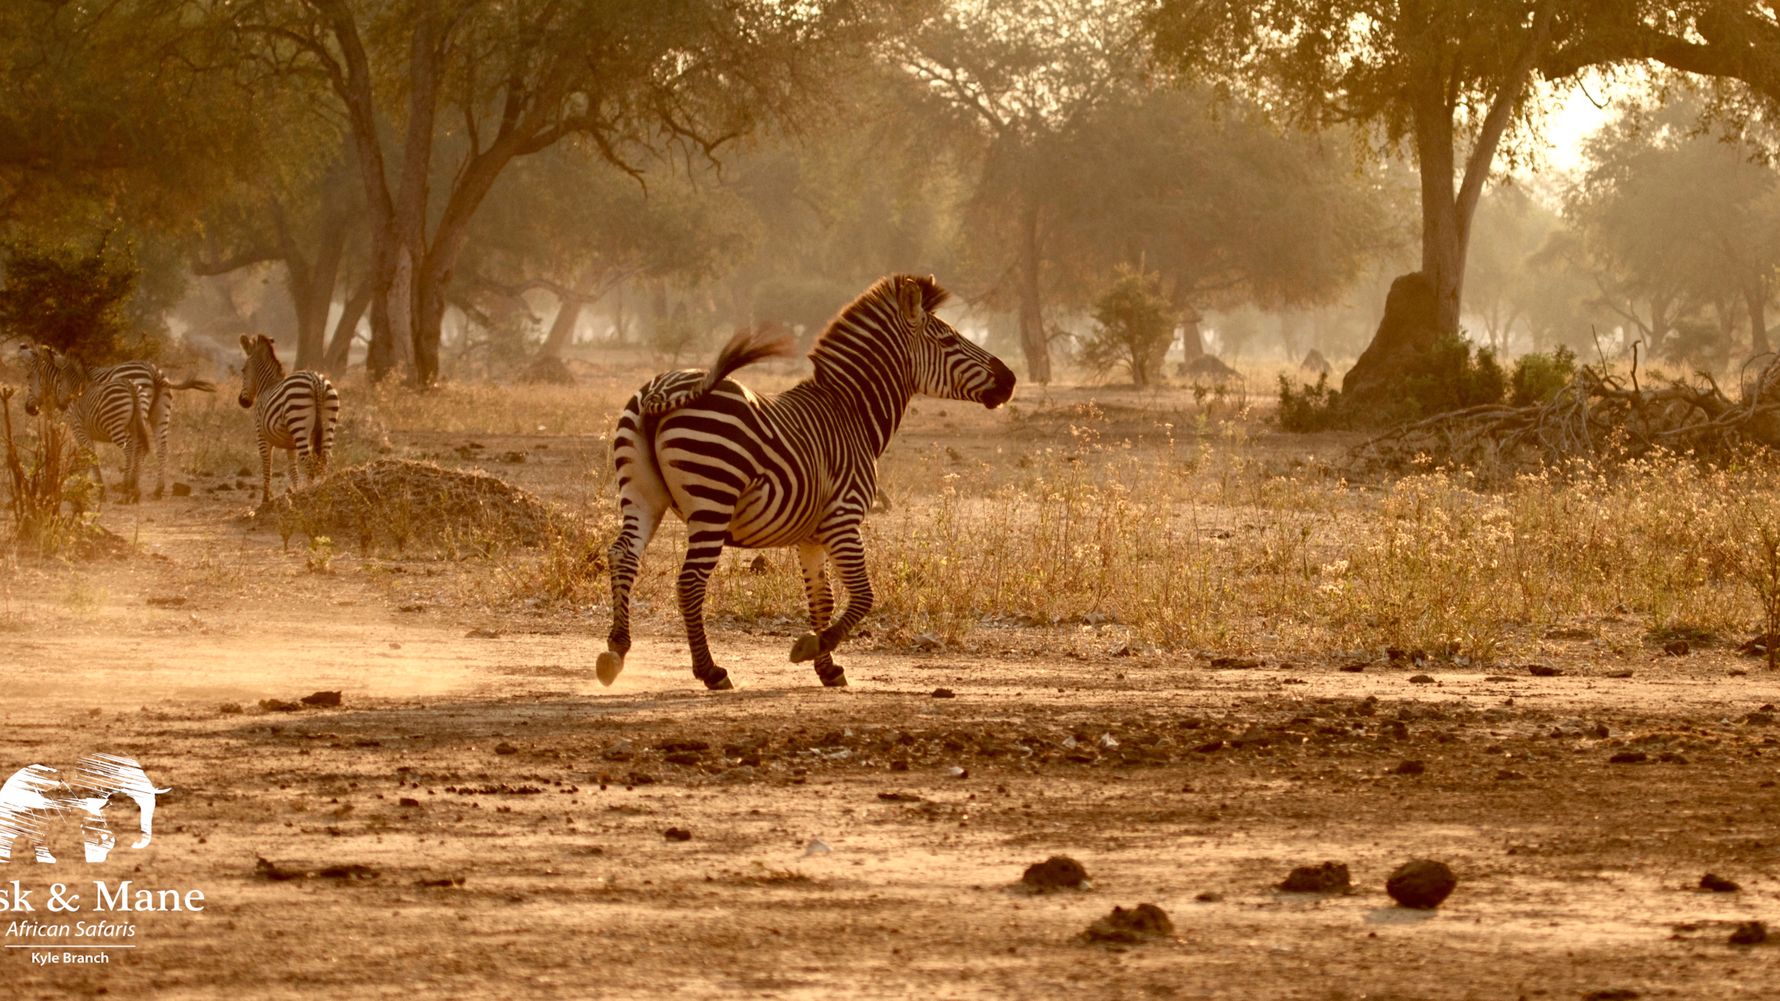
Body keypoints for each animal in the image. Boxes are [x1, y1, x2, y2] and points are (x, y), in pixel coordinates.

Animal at [18, 344, 153, 504]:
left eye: (28, 377)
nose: (29, 409)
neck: (76, 390)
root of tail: (129, 385)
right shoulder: (87, 433)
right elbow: (88, 456)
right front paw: (83, 486)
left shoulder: (79, 430)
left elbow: (89, 455)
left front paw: (95, 490)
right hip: (136, 424)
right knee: (139, 448)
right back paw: (134, 490)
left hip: (115, 426)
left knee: (129, 449)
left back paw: (126, 489)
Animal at [236, 334, 341, 504]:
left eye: (243, 371)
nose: (242, 401)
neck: (266, 386)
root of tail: (316, 380)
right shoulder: (290, 445)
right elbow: (293, 470)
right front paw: (295, 491)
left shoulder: (261, 436)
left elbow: (267, 466)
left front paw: (265, 500)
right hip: (328, 423)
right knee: (325, 459)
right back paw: (324, 490)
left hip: (299, 424)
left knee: (308, 462)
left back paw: (308, 494)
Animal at [598, 274, 1016, 690]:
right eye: (948, 340)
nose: (1010, 379)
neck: (851, 413)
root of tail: (660, 391)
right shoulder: (843, 518)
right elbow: (864, 595)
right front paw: (812, 646)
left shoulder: (811, 534)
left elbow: (822, 597)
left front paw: (826, 667)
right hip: (712, 498)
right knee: (689, 582)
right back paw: (710, 671)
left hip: (642, 493)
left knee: (623, 555)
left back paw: (616, 651)